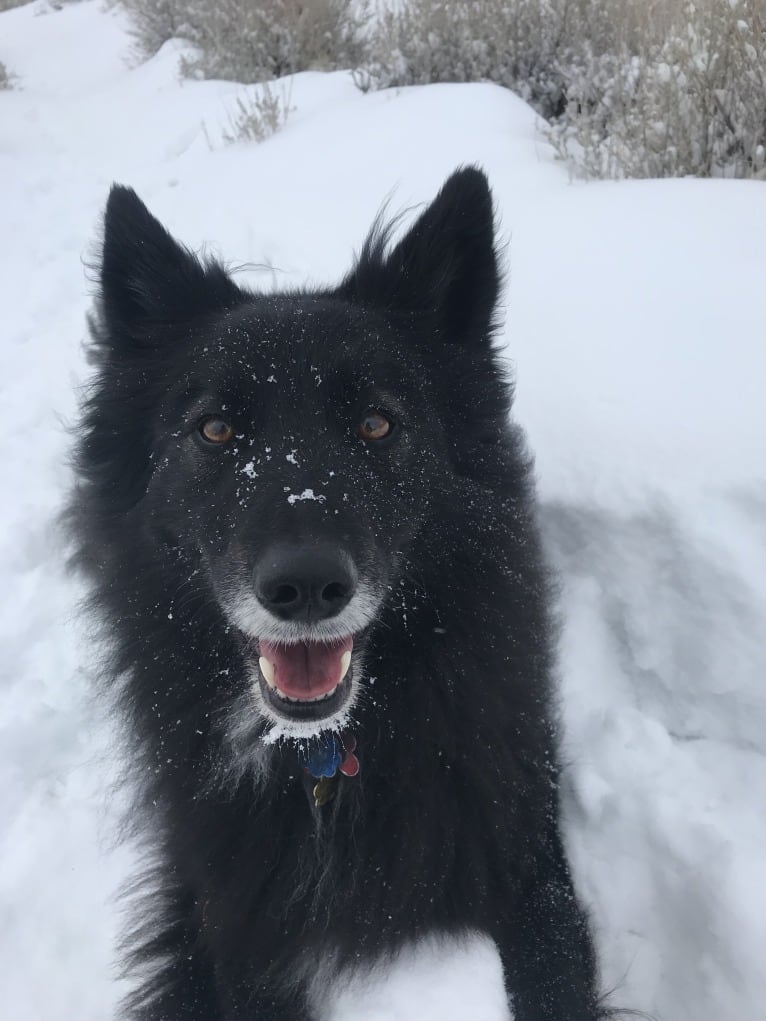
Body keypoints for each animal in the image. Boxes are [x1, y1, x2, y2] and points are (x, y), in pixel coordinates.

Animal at [70, 169, 604, 1021]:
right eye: (216, 429)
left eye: (376, 424)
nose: (306, 586)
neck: (322, 756)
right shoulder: (227, 906)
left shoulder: (525, 847)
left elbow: (555, 972)